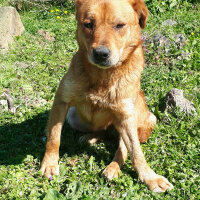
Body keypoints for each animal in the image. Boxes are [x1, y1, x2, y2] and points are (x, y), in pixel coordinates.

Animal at [40, 0, 173, 192]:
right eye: (88, 24)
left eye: (120, 25)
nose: (101, 54)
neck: (102, 77)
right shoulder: (61, 101)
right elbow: (53, 137)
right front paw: (50, 164)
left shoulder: (125, 116)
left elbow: (136, 152)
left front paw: (150, 177)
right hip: (74, 116)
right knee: (102, 132)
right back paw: (90, 138)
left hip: (138, 120)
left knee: (122, 148)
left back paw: (112, 168)